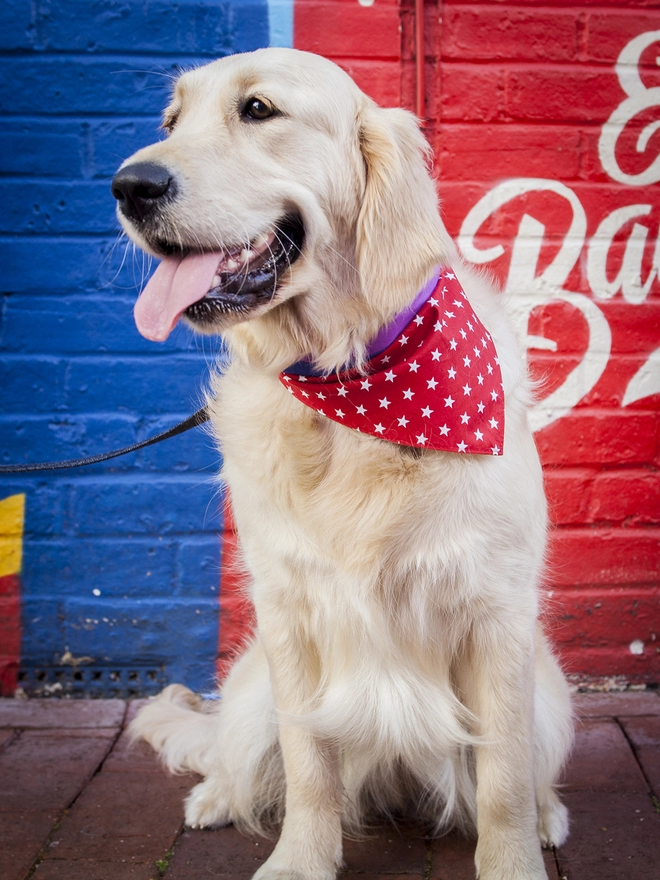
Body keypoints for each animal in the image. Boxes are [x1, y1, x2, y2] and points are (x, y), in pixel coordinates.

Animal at [112, 46, 572, 880]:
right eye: (171, 120)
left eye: (258, 110)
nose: (130, 186)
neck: (351, 385)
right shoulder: (290, 612)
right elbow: (309, 767)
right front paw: (299, 860)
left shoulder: (497, 614)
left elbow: (503, 777)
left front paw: (513, 858)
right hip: (251, 690)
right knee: (234, 755)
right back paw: (215, 798)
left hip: (553, 693)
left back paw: (550, 814)